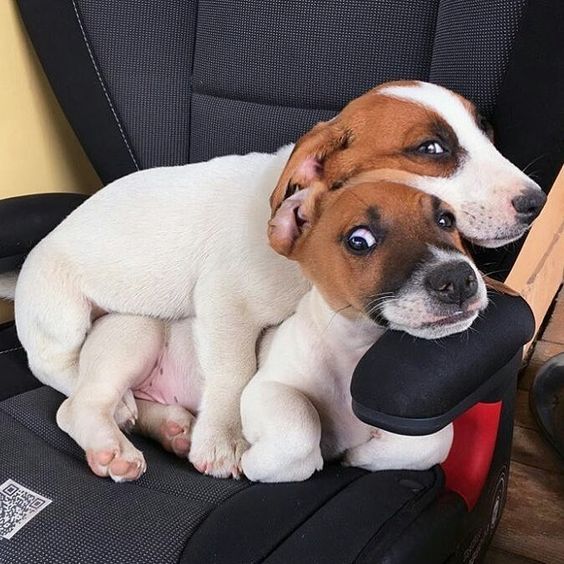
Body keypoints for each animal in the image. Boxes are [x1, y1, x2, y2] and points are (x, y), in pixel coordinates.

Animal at [9, 80, 540, 476]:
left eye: (487, 131)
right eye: (431, 148)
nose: (536, 202)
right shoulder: (225, 304)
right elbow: (233, 372)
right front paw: (223, 440)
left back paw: (168, 424)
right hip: (70, 317)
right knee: (62, 374)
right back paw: (117, 415)